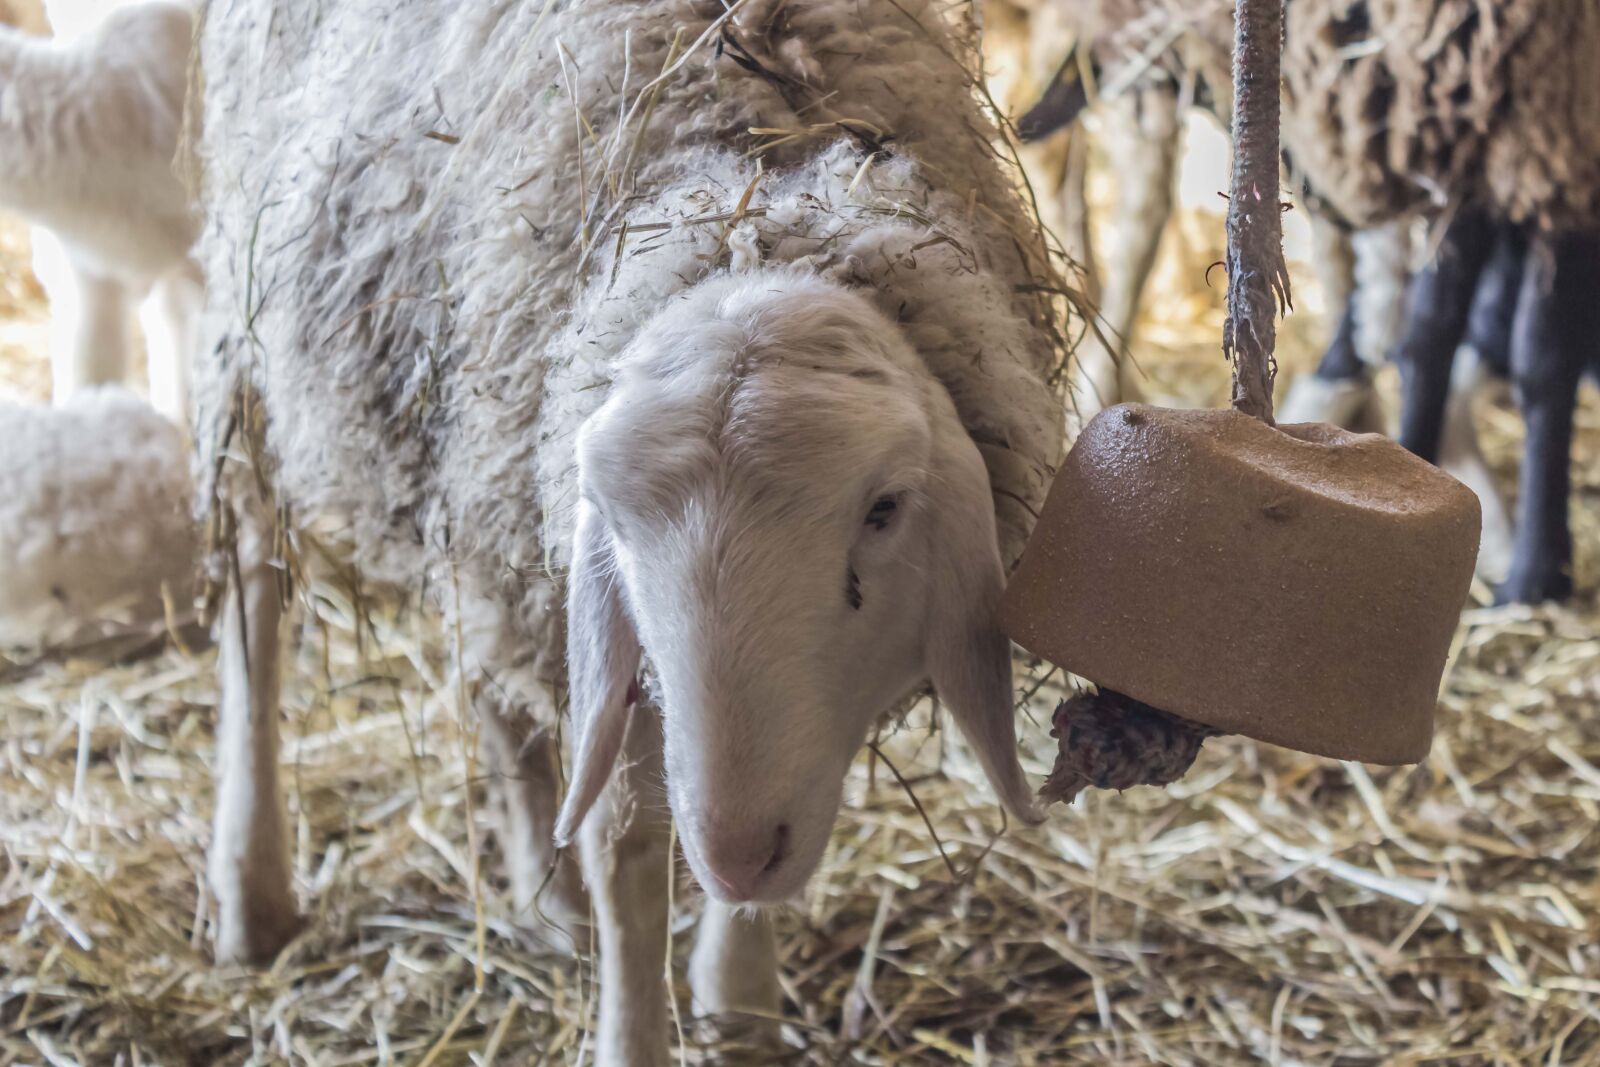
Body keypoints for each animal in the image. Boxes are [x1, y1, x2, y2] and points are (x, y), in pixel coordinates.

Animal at [192, 0, 1065, 1060]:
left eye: (885, 508)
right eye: (610, 516)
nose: (735, 850)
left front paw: (740, 1002)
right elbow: (628, 848)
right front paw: (641, 1021)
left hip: (475, 492)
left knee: (490, 671)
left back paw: (547, 893)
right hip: (257, 332)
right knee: (253, 572)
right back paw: (253, 890)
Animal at [1281, 0, 1600, 602]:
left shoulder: (1565, 147)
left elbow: (1543, 362)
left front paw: (1536, 573)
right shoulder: (1461, 143)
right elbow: (1429, 331)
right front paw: (1407, 469)